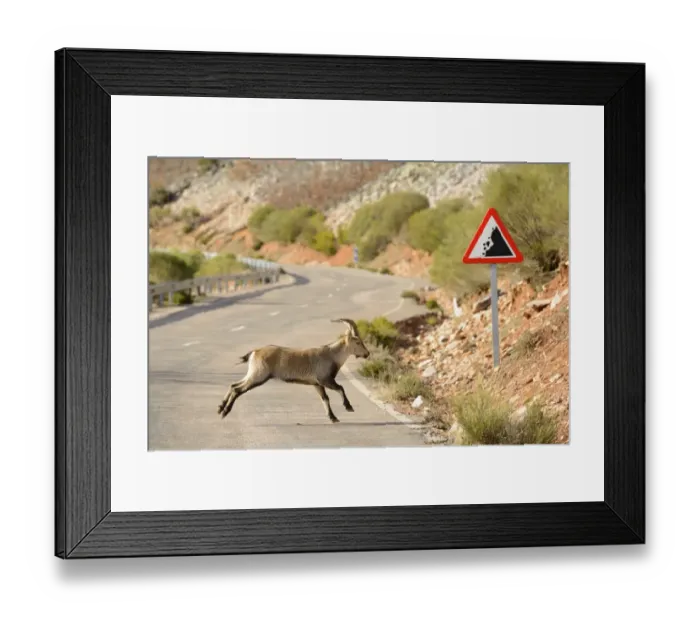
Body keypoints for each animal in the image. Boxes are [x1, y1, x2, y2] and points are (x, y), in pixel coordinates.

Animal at [217, 318, 371, 423]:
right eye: (358, 342)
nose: (367, 354)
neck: (331, 355)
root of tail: (255, 352)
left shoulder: (317, 384)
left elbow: (325, 398)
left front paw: (333, 418)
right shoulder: (325, 380)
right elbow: (341, 388)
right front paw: (348, 407)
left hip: (253, 374)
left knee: (233, 385)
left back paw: (220, 407)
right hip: (259, 376)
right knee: (237, 389)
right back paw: (225, 412)